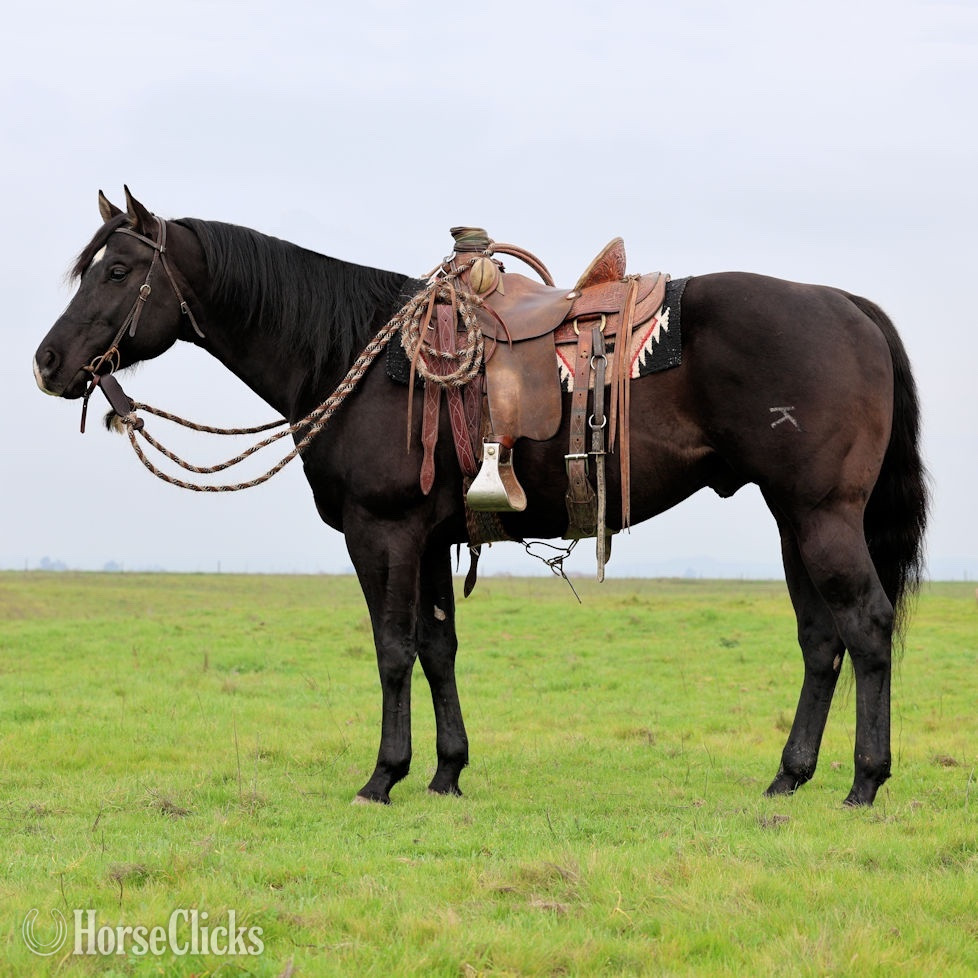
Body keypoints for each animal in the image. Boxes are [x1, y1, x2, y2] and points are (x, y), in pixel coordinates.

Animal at [33, 188, 927, 807]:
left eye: (119, 271)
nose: (47, 361)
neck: (358, 359)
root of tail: (850, 307)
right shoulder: (430, 539)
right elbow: (438, 648)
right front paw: (446, 774)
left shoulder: (382, 533)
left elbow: (393, 650)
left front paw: (383, 777)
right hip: (794, 518)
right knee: (821, 639)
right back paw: (791, 776)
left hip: (821, 515)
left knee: (866, 626)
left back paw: (865, 781)